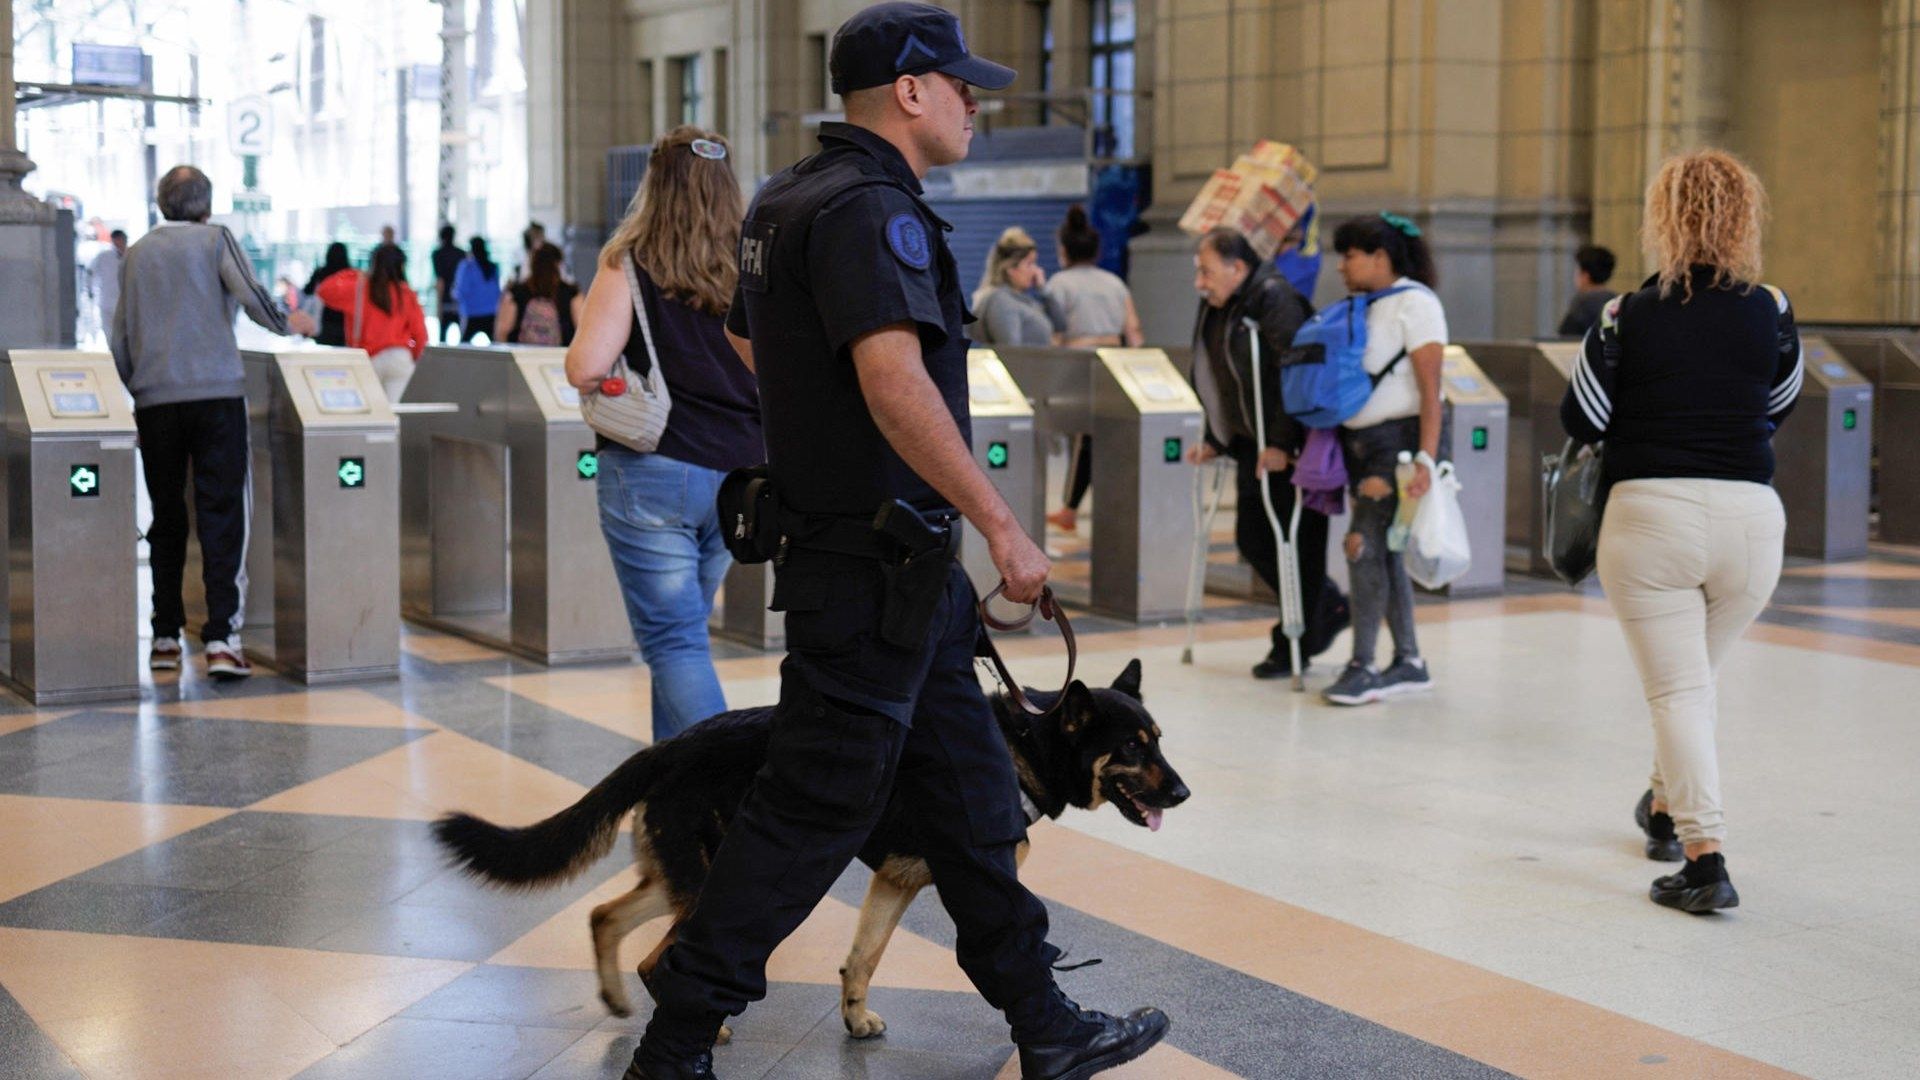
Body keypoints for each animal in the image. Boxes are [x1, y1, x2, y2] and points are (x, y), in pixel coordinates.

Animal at [435, 657, 1182, 1037]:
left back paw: (621, 1002)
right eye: (1132, 748)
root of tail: (669, 746)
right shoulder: (977, 878)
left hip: (688, 876)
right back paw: (702, 1026)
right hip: (715, 884)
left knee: (604, 917)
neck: (1023, 743)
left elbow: (864, 957)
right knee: (656, 953)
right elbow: (1013, 944)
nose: (1184, 793)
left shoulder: (895, 882)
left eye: (1160, 741)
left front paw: (853, 1019)